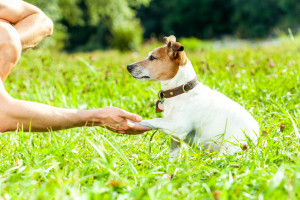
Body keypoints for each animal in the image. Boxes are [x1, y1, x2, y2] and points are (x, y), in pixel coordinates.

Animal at [126, 35, 258, 161]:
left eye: (152, 58)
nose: (128, 66)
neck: (181, 92)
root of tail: (257, 140)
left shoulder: (180, 126)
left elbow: (155, 120)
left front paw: (135, 121)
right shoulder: (175, 137)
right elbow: (172, 156)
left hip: (231, 147)